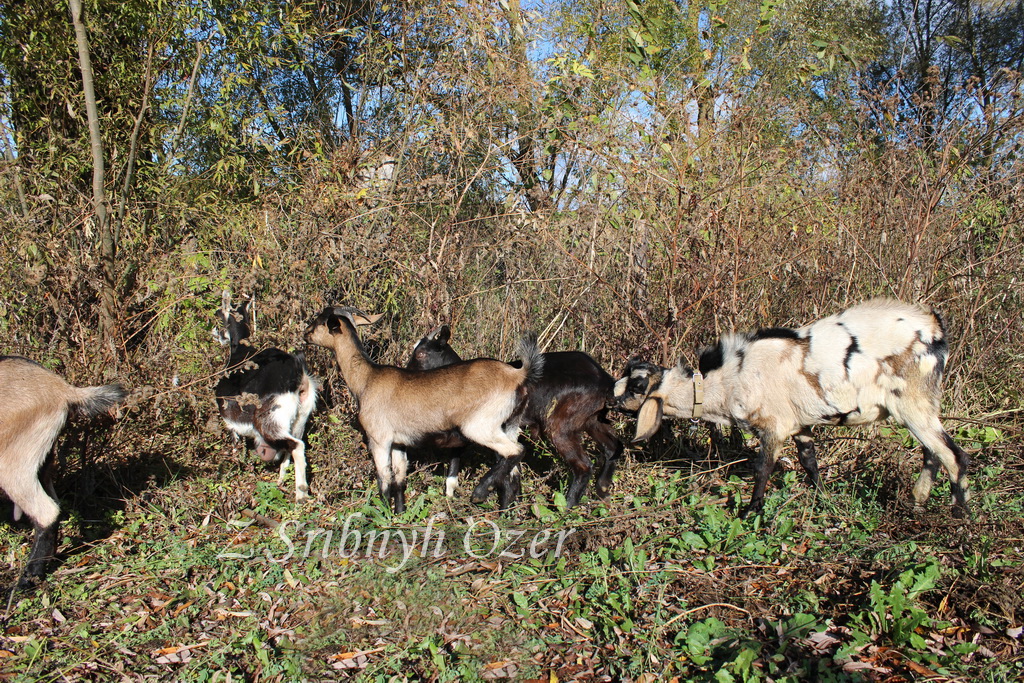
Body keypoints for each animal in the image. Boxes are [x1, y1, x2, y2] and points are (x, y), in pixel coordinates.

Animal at [214, 292, 317, 502]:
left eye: (220, 314)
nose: (216, 334)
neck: (240, 351)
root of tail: (297, 371)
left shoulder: (230, 423)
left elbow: (235, 444)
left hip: (270, 419)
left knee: (296, 446)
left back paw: (300, 494)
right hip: (300, 417)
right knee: (292, 446)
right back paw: (281, 480)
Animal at [305, 307, 544, 514]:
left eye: (320, 321)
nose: (305, 333)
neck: (367, 379)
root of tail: (516, 375)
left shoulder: (379, 438)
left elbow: (384, 478)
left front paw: (382, 512)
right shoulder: (399, 442)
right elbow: (400, 477)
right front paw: (399, 513)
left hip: (479, 426)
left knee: (515, 451)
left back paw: (479, 493)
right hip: (509, 425)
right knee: (513, 474)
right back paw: (505, 514)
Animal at [407, 325, 622, 508]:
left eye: (421, 353)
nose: (409, 377)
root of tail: (604, 380)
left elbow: (507, 465)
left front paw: (499, 503)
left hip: (560, 424)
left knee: (583, 465)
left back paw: (566, 508)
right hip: (592, 420)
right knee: (613, 447)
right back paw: (603, 491)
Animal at [614, 298, 971, 519]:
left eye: (637, 386)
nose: (611, 397)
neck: (729, 377)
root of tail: (934, 327)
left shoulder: (774, 425)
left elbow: (762, 468)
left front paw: (751, 511)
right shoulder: (801, 425)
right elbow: (810, 464)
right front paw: (824, 499)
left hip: (912, 402)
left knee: (954, 455)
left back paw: (960, 517)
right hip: (920, 407)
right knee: (932, 452)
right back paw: (918, 502)